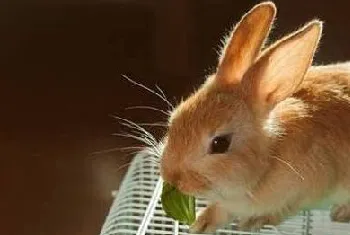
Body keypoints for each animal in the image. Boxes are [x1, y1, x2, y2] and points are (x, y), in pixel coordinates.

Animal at [159, 0, 350, 233]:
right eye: (174, 118)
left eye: (220, 144)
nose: (171, 176)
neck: (270, 157)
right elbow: (219, 212)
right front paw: (201, 224)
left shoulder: (302, 195)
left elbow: (279, 211)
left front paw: (252, 222)